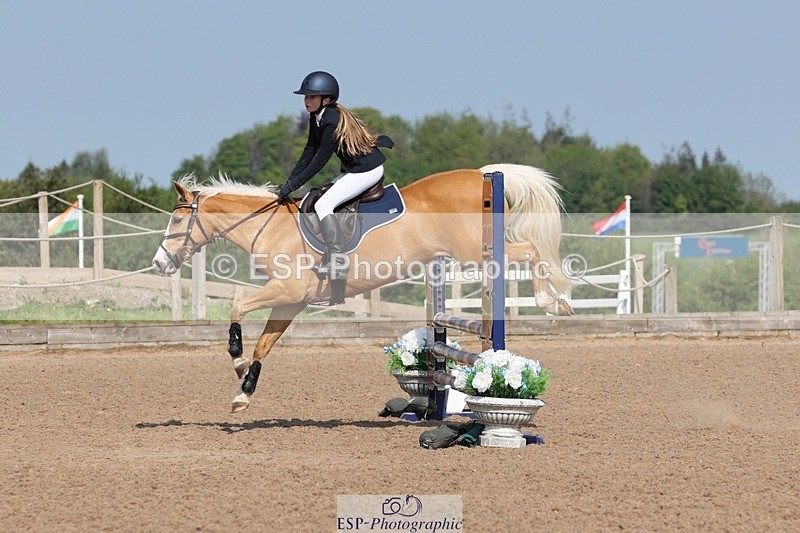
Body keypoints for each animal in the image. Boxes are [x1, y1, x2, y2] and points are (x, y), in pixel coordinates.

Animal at [151, 163, 572, 413]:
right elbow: (264, 345)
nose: (158, 263)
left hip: (473, 252)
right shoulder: (291, 302)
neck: (270, 227)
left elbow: (237, 306)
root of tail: (482, 174)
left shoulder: (287, 290)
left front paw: (237, 360)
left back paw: (555, 303)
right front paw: (244, 390)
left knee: (531, 250)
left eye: (176, 221)